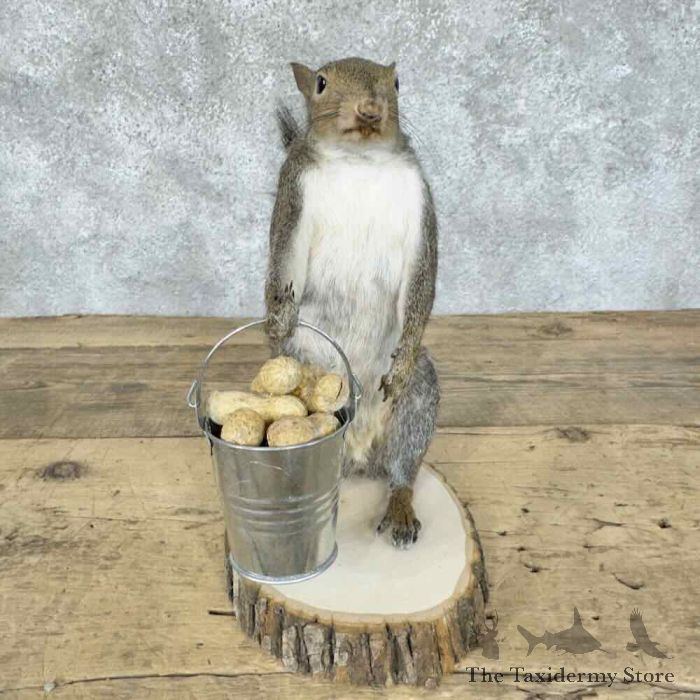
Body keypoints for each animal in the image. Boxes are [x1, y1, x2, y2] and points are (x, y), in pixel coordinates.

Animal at [264, 57, 439, 548]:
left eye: (396, 82)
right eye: (321, 84)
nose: (369, 109)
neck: (358, 160)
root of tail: (359, 456)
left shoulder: (420, 203)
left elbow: (422, 283)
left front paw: (402, 361)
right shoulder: (293, 196)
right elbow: (283, 261)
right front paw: (276, 320)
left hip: (418, 403)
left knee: (403, 468)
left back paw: (399, 508)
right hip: (310, 368)